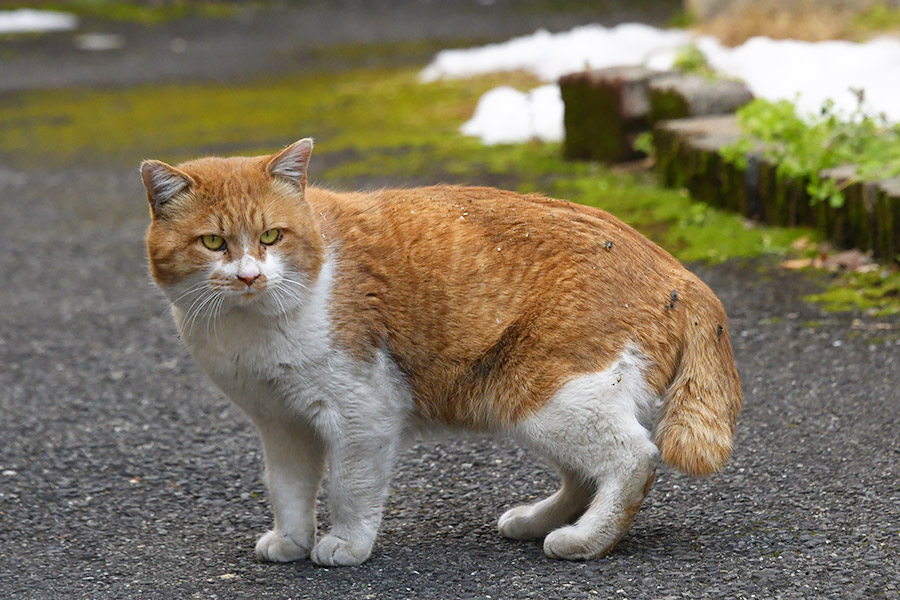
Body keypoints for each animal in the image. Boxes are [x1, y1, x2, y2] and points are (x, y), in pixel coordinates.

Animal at [144, 139, 740, 568]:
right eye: (214, 243)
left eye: (271, 236)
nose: (249, 276)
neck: (250, 328)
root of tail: (681, 273)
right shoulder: (281, 423)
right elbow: (288, 489)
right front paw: (291, 540)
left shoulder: (364, 413)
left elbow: (349, 488)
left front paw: (346, 545)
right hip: (527, 403)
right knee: (584, 475)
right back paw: (539, 522)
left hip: (548, 395)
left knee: (633, 458)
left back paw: (583, 541)